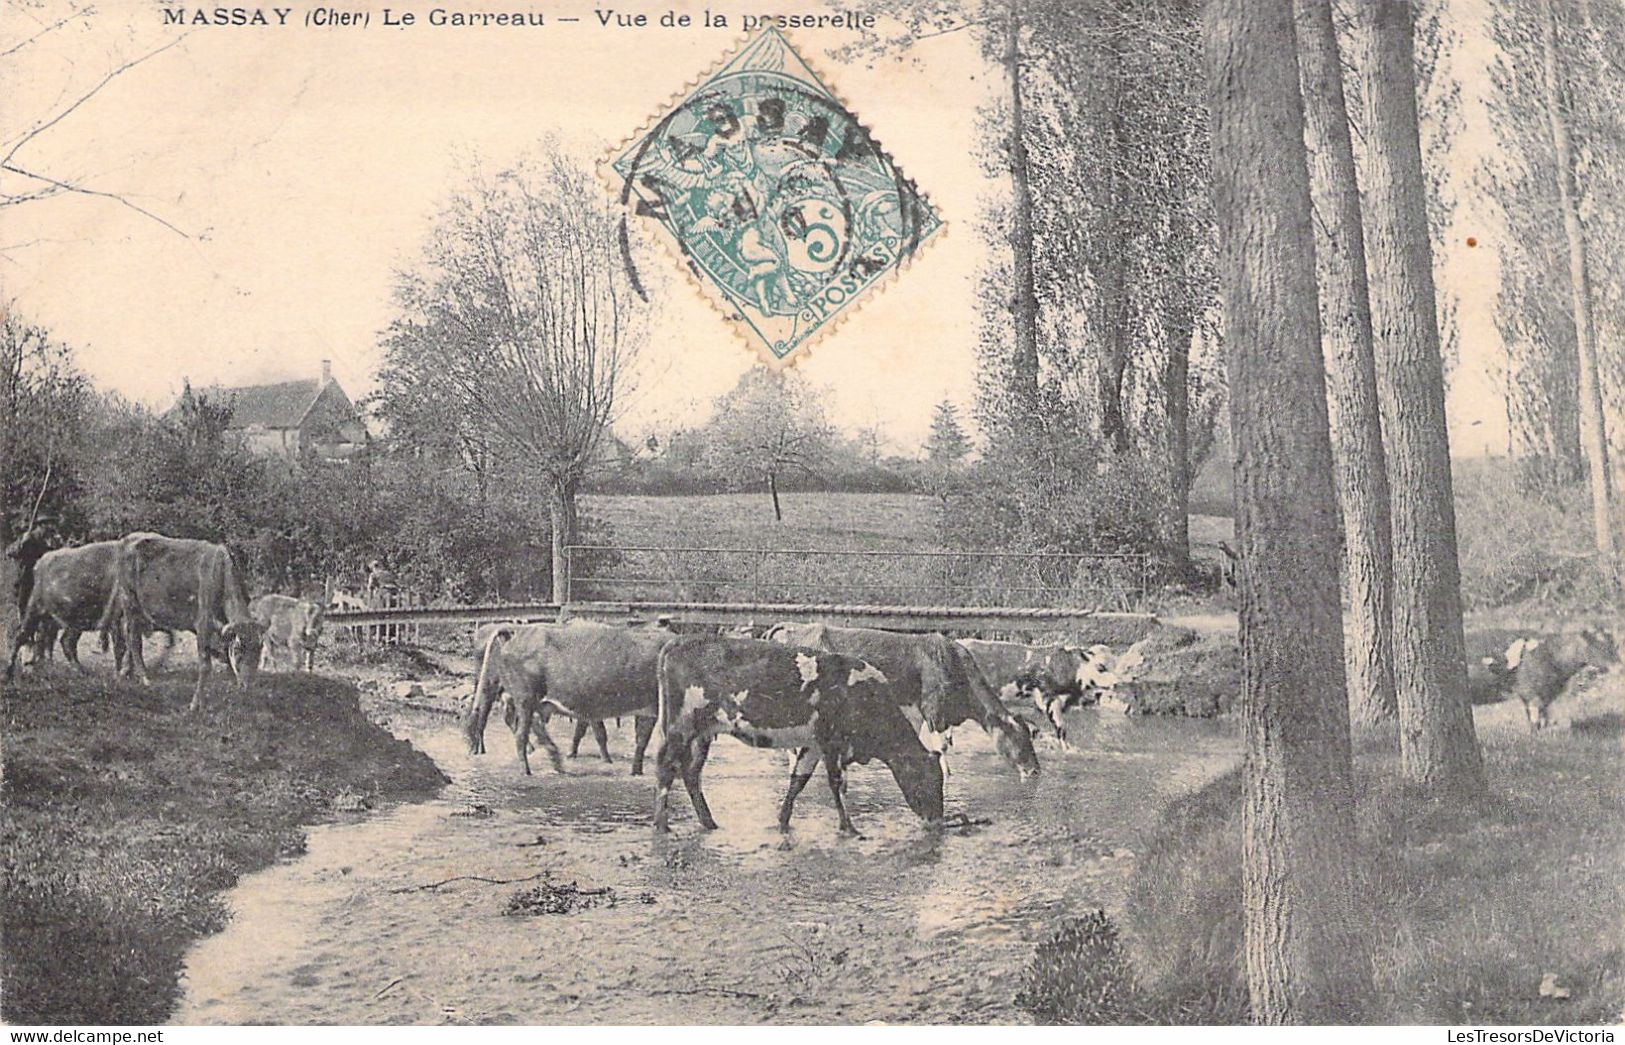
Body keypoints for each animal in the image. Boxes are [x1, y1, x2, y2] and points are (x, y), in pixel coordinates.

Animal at [99, 536, 261, 715]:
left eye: (259, 650)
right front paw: (197, 704)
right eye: (238, 650)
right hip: (130, 602)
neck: (219, 573)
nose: (247, 685)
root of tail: (127, 540)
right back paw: (144, 677)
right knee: (133, 640)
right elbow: (205, 666)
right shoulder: (203, 624)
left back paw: (128, 671)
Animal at [468, 620, 669, 776]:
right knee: (517, 733)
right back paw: (526, 770)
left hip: (522, 699)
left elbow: (641, 740)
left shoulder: (647, 710)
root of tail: (515, 631)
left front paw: (636, 771)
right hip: (523, 698)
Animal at [653, 633, 949, 838]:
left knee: (691, 773)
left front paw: (783, 821)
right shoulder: (832, 742)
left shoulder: (814, 744)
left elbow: (799, 780)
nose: (936, 821)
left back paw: (709, 823)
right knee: (666, 768)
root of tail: (679, 641)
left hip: (702, 733)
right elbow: (836, 784)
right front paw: (849, 827)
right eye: (928, 778)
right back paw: (662, 825)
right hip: (681, 726)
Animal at [763, 620, 1040, 776]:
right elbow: (941, 746)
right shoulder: (933, 708)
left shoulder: (914, 711)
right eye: (1019, 739)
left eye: (1030, 737)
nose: (1035, 770)